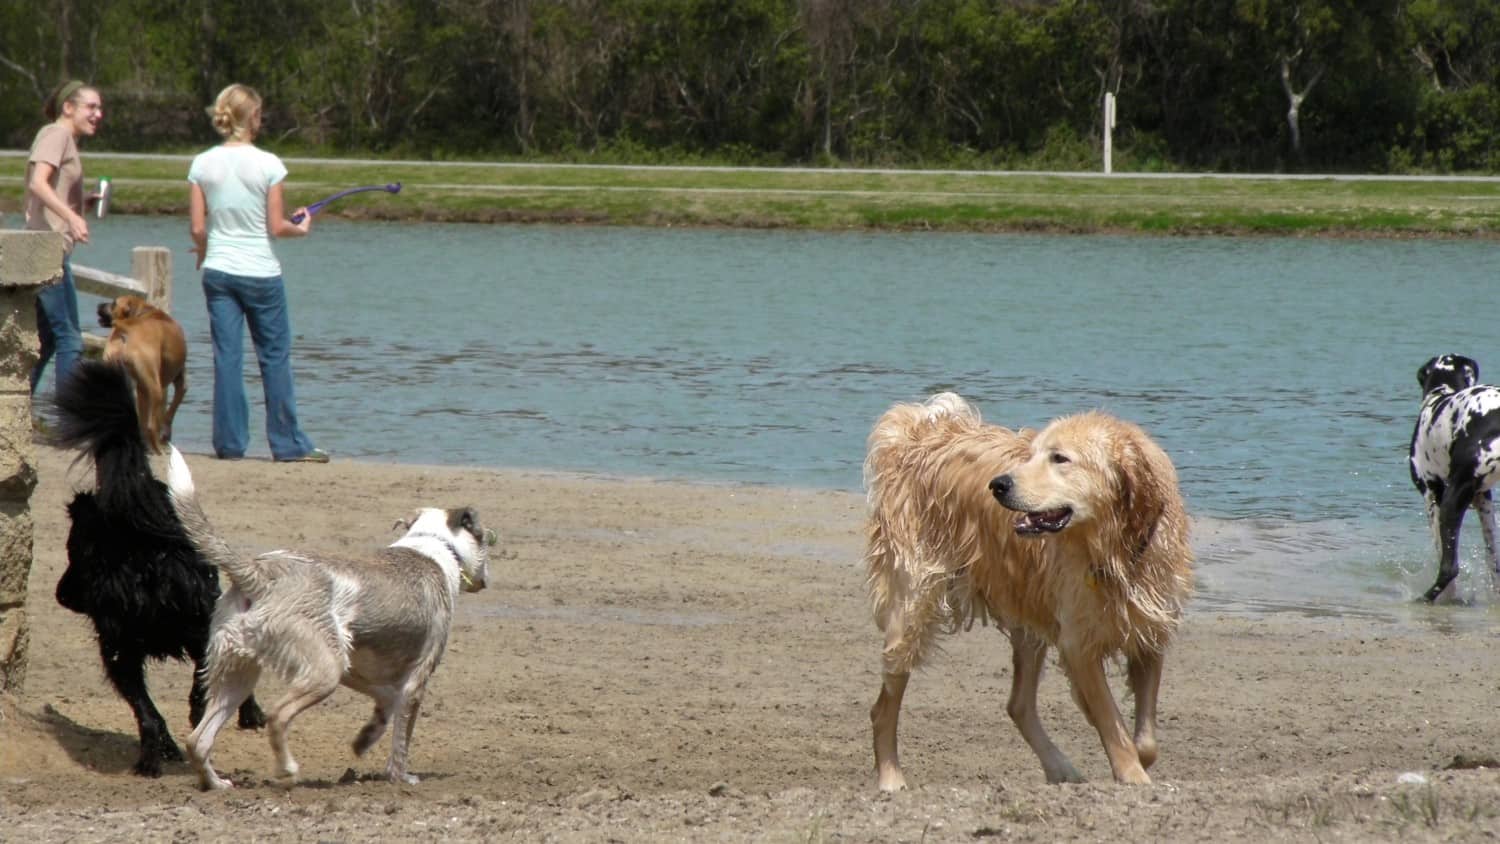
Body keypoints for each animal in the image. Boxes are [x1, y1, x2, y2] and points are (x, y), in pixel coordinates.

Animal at [98, 296, 187, 455]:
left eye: (114, 303)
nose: (99, 306)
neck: (142, 312)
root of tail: (127, 329)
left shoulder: (141, 389)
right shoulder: (180, 381)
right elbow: (172, 408)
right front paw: (166, 433)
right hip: (156, 389)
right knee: (151, 426)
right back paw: (158, 450)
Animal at [165, 446, 492, 791]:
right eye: (487, 540)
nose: (486, 579)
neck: (435, 544)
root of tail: (261, 573)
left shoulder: (355, 667)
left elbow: (387, 702)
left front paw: (364, 740)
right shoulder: (417, 678)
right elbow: (402, 737)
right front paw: (401, 777)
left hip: (240, 673)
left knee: (197, 740)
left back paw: (216, 784)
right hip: (323, 671)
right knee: (277, 716)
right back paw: (287, 769)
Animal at [1404, 353, 1500, 605]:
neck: (1441, 394)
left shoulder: (1432, 497)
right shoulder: (1483, 500)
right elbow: (1493, 562)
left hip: (1450, 502)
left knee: (1449, 569)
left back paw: (1425, 598)